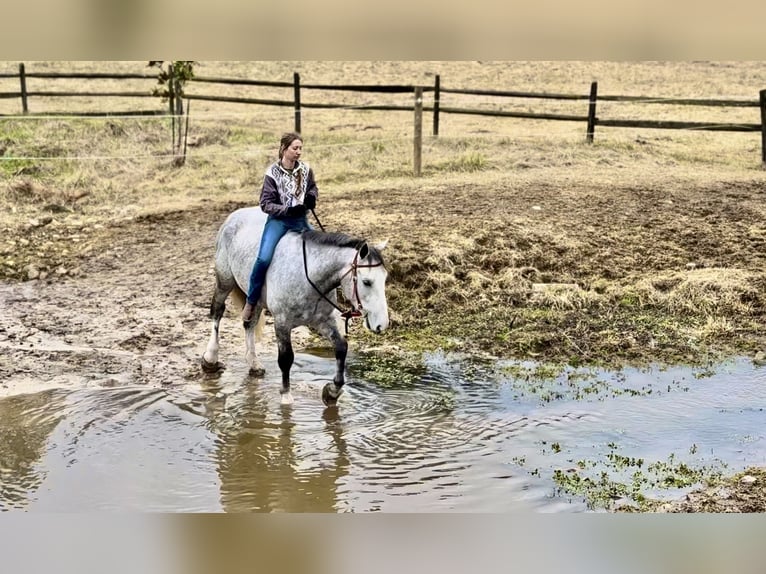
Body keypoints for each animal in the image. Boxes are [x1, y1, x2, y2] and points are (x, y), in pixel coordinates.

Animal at [201, 207, 389, 406]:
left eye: (385, 279)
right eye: (367, 282)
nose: (382, 324)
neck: (309, 276)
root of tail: (234, 215)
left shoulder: (324, 320)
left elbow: (341, 348)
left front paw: (332, 392)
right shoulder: (282, 322)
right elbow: (286, 358)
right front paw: (286, 397)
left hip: (256, 298)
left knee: (249, 323)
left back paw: (254, 364)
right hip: (224, 280)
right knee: (217, 312)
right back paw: (210, 358)